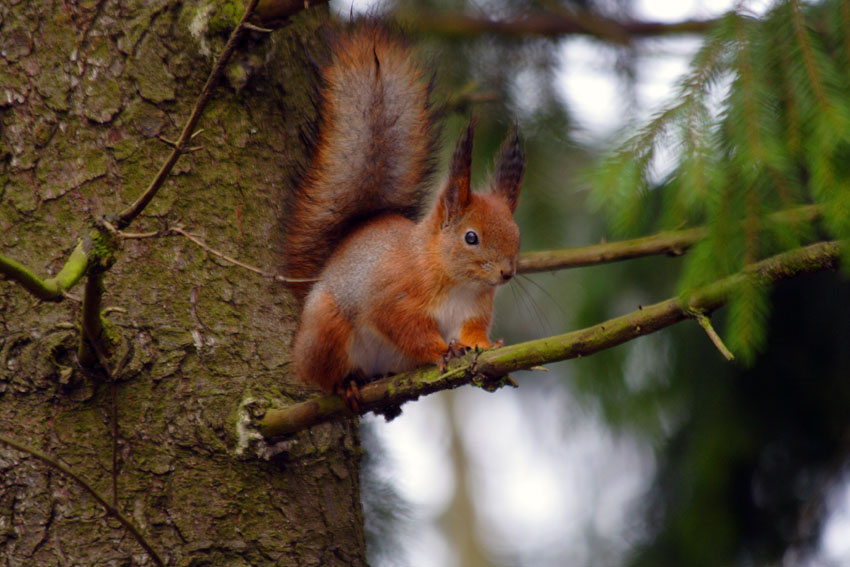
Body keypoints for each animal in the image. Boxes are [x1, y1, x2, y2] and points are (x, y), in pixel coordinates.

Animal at [282, 23, 525, 412]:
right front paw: (442, 351)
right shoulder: (391, 295)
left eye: (518, 237)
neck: (455, 280)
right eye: (471, 237)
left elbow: (472, 331)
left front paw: (483, 346)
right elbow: (404, 327)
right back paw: (347, 384)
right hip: (326, 328)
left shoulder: (475, 309)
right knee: (323, 374)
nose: (506, 273)